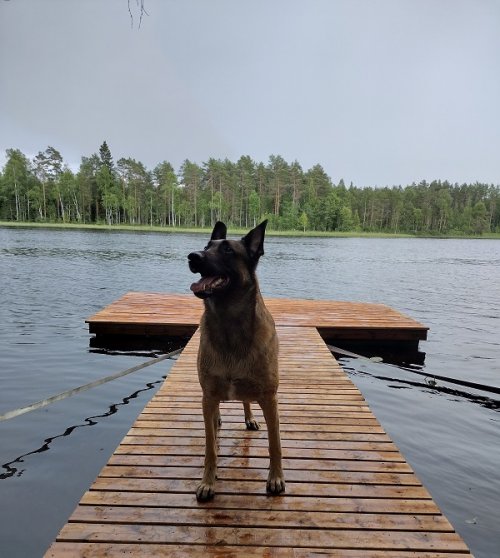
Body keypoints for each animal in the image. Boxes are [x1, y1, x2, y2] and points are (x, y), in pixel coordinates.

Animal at [187, 220, 285, 501]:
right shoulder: (208, 394)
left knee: (245, 400)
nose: (193, 256)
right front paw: (208, 482)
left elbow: (275, 444)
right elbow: (210, 449)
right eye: (207, 246)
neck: (228, 323)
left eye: (228, 250)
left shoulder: (269, 397)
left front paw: (276, 478)